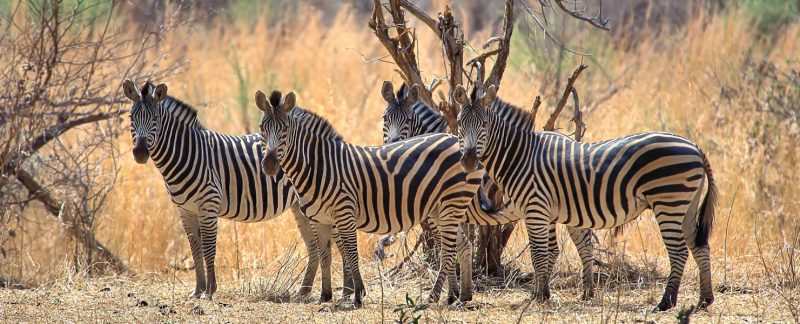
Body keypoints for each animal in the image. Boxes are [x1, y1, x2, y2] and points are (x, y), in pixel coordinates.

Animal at [120, 79, 348, 300]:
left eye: (155, 119)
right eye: (131, 118)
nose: (140, 153)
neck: (187, 153)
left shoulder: (208, 205)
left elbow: (208, 249)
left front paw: (209, 291)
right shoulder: (185, 210)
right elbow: (195, 250)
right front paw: (197, 290)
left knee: (340, 242)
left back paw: (346, 291)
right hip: (301, 205)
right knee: (314, 245)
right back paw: (304, 291)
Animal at [253, 89, 484, 306]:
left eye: (284, 129)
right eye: (262, 128)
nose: (269, 166)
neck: (320, 166)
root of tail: (457, 142)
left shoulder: (345, 214)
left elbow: (351, 253)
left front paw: (357, 295)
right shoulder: (319, 219)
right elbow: (325, 255)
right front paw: (325, 296)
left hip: (452, 202)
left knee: (449, 250)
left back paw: (438, 296)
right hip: (441, 209)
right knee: (462, 246)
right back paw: (460, 295)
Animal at [380, 81, 592, 298]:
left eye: (407, 120)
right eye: (385, 118)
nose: (392, 149)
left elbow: (447, 247)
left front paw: (449, 292)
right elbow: (460, 246)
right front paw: (459, 292)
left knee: (569, 246)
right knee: (572, 245)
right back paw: (576, 291)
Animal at [454, 84, 720, 312]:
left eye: (484, 124)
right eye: (459, 123)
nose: (468, 161)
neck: (522, 156)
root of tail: (695, 146)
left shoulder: (536, 209)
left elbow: (539, 254)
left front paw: (538, 297)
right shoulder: (546, 212)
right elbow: (550, 253)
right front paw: (542, 293)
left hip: (669, 201)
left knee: (679, 251)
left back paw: (666, 302)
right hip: (686, 205)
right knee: (700, 246)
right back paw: (704, 300)